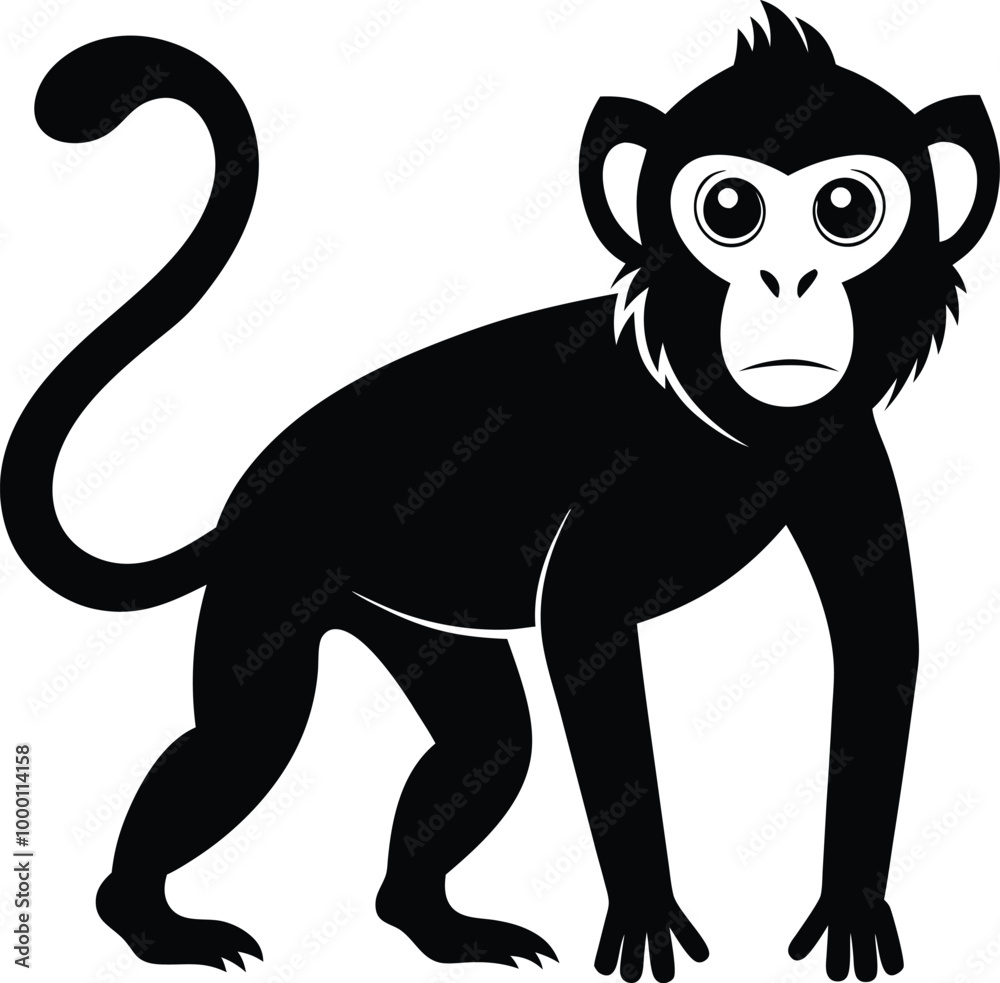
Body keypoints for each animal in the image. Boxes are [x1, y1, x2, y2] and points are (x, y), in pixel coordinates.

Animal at [2, 4, 996, 980]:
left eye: (846, 208)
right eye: (730, 209)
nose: (789, 280)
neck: (726, 418)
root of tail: (246, 500)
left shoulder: (846, 448)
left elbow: (875, 640)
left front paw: (850, 907)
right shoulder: (618, 488)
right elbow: (584, 637)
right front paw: (644, 910)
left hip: (404, 612)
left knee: (486, 746)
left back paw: (437, 924)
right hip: (272, 584)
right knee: (247, 737)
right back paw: (148, 921)